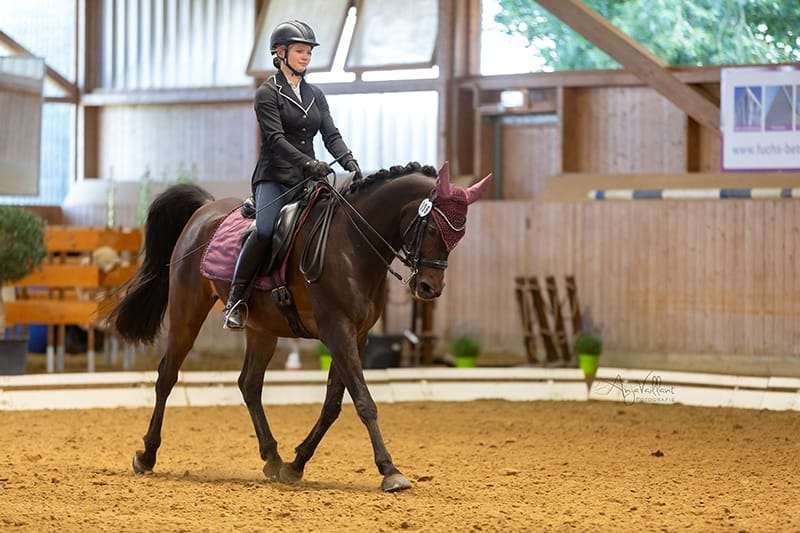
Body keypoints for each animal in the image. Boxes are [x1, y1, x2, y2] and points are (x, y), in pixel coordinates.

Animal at [104, 160, 494, 492]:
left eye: (458, 235)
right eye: (433, 227)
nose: (429, 288)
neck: (352, 244)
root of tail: (205, 210)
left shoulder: (357, 335)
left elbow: (334, 404)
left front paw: (296, 464)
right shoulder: (336, 329)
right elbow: (364, 400)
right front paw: (390, 471)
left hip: (262, 328)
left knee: (249, 384)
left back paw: (273, 458)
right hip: (188, 310)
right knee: (167, 376)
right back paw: (147, 456)